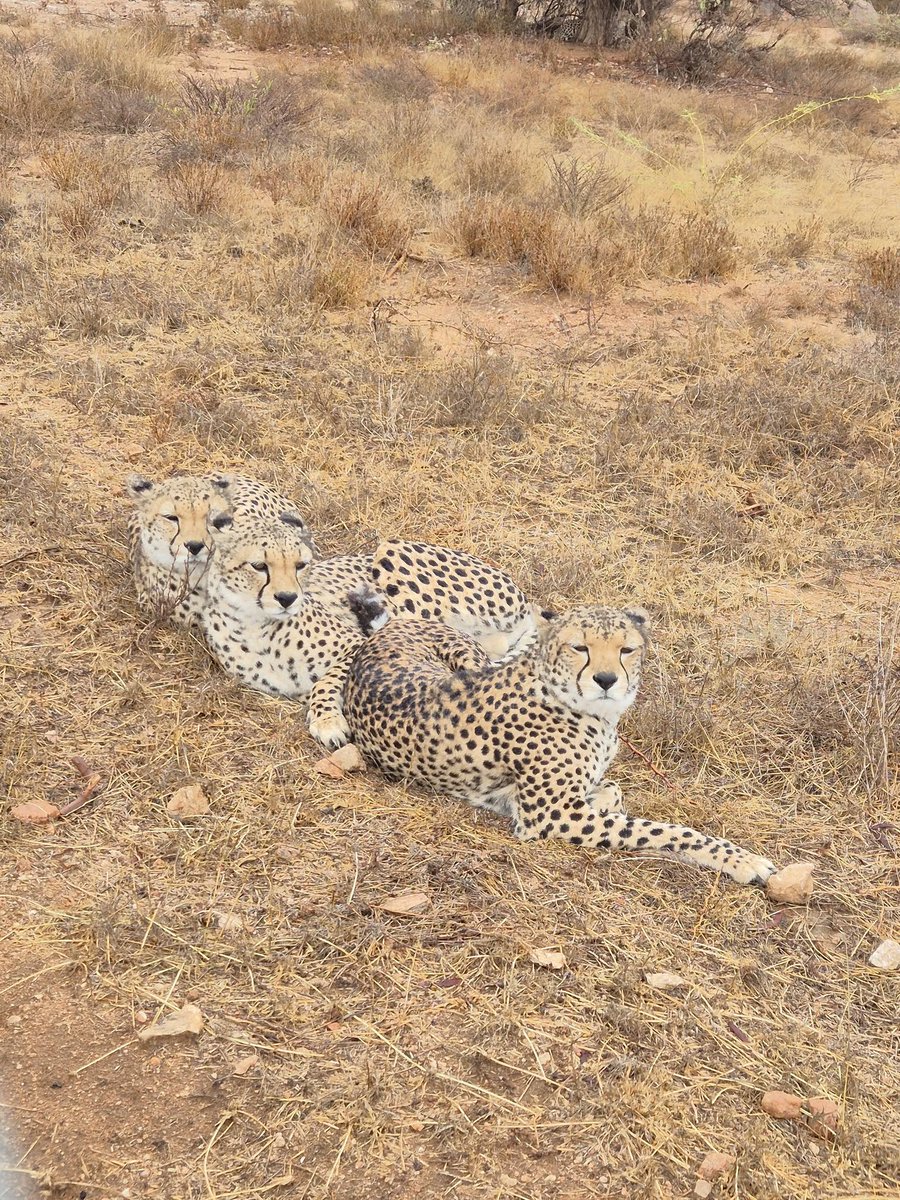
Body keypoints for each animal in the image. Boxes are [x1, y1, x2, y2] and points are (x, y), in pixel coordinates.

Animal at [343, 606, 777, 886]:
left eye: (627, 650)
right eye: (579, 647)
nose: (606, 680)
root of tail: (387, 630)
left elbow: (613, 788)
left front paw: (602, 796)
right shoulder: (553, 815)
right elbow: (664, 830)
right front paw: (741, 860)